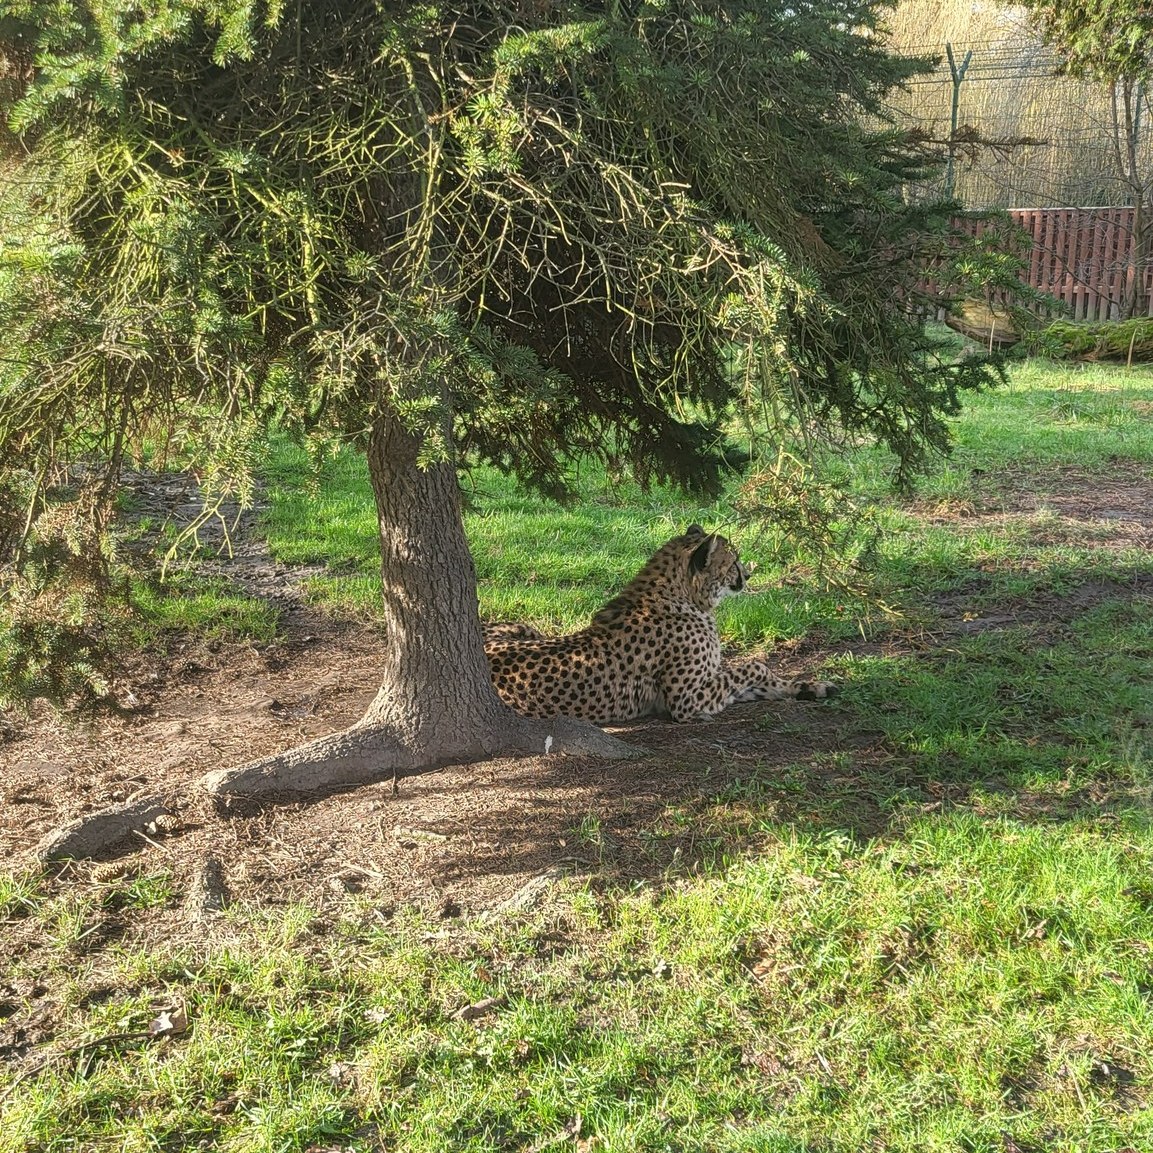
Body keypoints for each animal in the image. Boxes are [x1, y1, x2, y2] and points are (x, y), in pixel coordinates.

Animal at [486, 523, 839, 719]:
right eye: (733, 561)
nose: (748, 575)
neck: (684, 600)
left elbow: (758, 681)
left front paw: (810, 687)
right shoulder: (686, 701)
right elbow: (753, 667)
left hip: (526, 628)